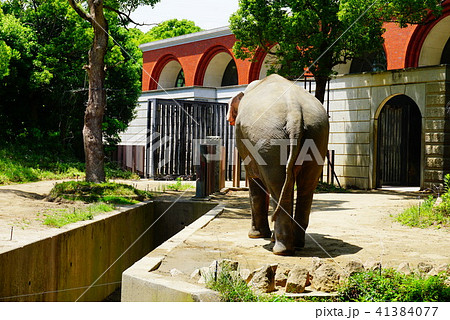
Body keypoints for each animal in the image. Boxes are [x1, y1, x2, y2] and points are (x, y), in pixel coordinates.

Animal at [227, 74, 328, 256]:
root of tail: (295, 111)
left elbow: (255, 182)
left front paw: (255, 236)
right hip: (317, 134)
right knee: (305, 186)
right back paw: (296, 244)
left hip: (268, 138)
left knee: (276, 184)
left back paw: (281, 249)